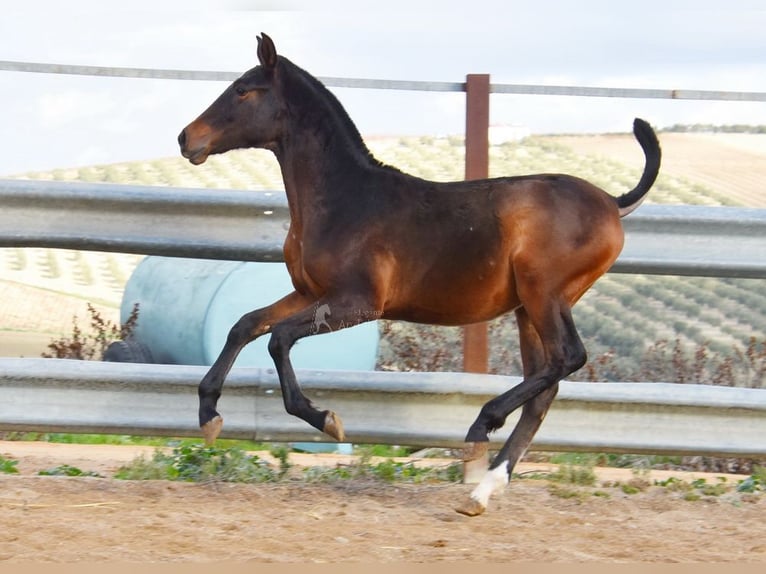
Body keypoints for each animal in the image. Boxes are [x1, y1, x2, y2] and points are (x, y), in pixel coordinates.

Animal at [178, 32, 660, 516]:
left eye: (243, 90)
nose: (186, 138)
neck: (345, 199)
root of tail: (611, 202)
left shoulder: (358, 302)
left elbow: (278, 339)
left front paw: (326, 419)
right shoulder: (309, 293)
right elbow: (245, 325)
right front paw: (208, 416)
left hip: (545, 293)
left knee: (567, 358)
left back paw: (480, 429)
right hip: (529, 307)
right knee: (545, 387)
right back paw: (482, 492)